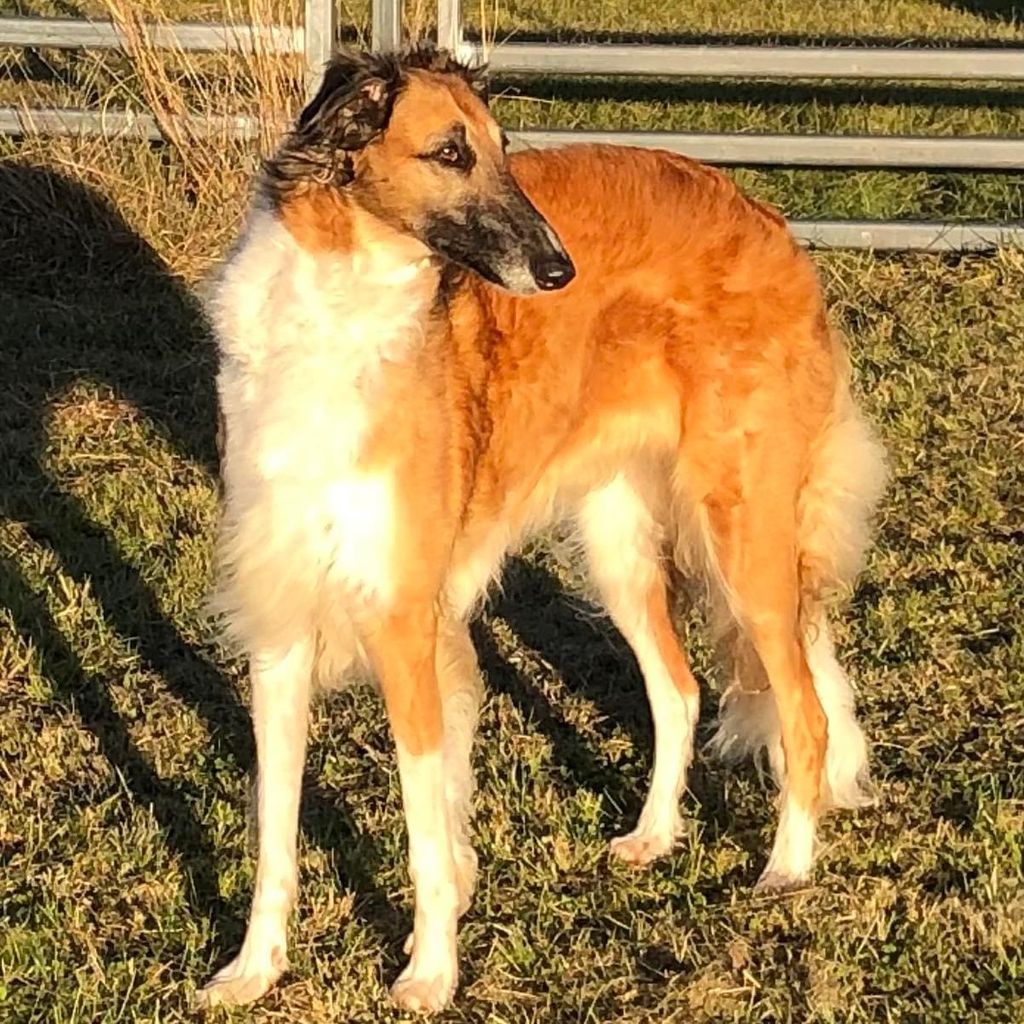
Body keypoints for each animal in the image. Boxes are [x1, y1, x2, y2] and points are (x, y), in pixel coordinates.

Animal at [197, 46, 880, 1007]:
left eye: (501, 149)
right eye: (450, 152)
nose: (560, 271)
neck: (339, 307)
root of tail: (767, 221)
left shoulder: (405, 625)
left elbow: (423, 832)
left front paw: (430, 973)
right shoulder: (281, 624)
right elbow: (277, 831)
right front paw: (254, 970)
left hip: (744, 546)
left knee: (806, 712)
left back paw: (787, 866)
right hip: (620, 546)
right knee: (680, 690)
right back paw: (654, 836)